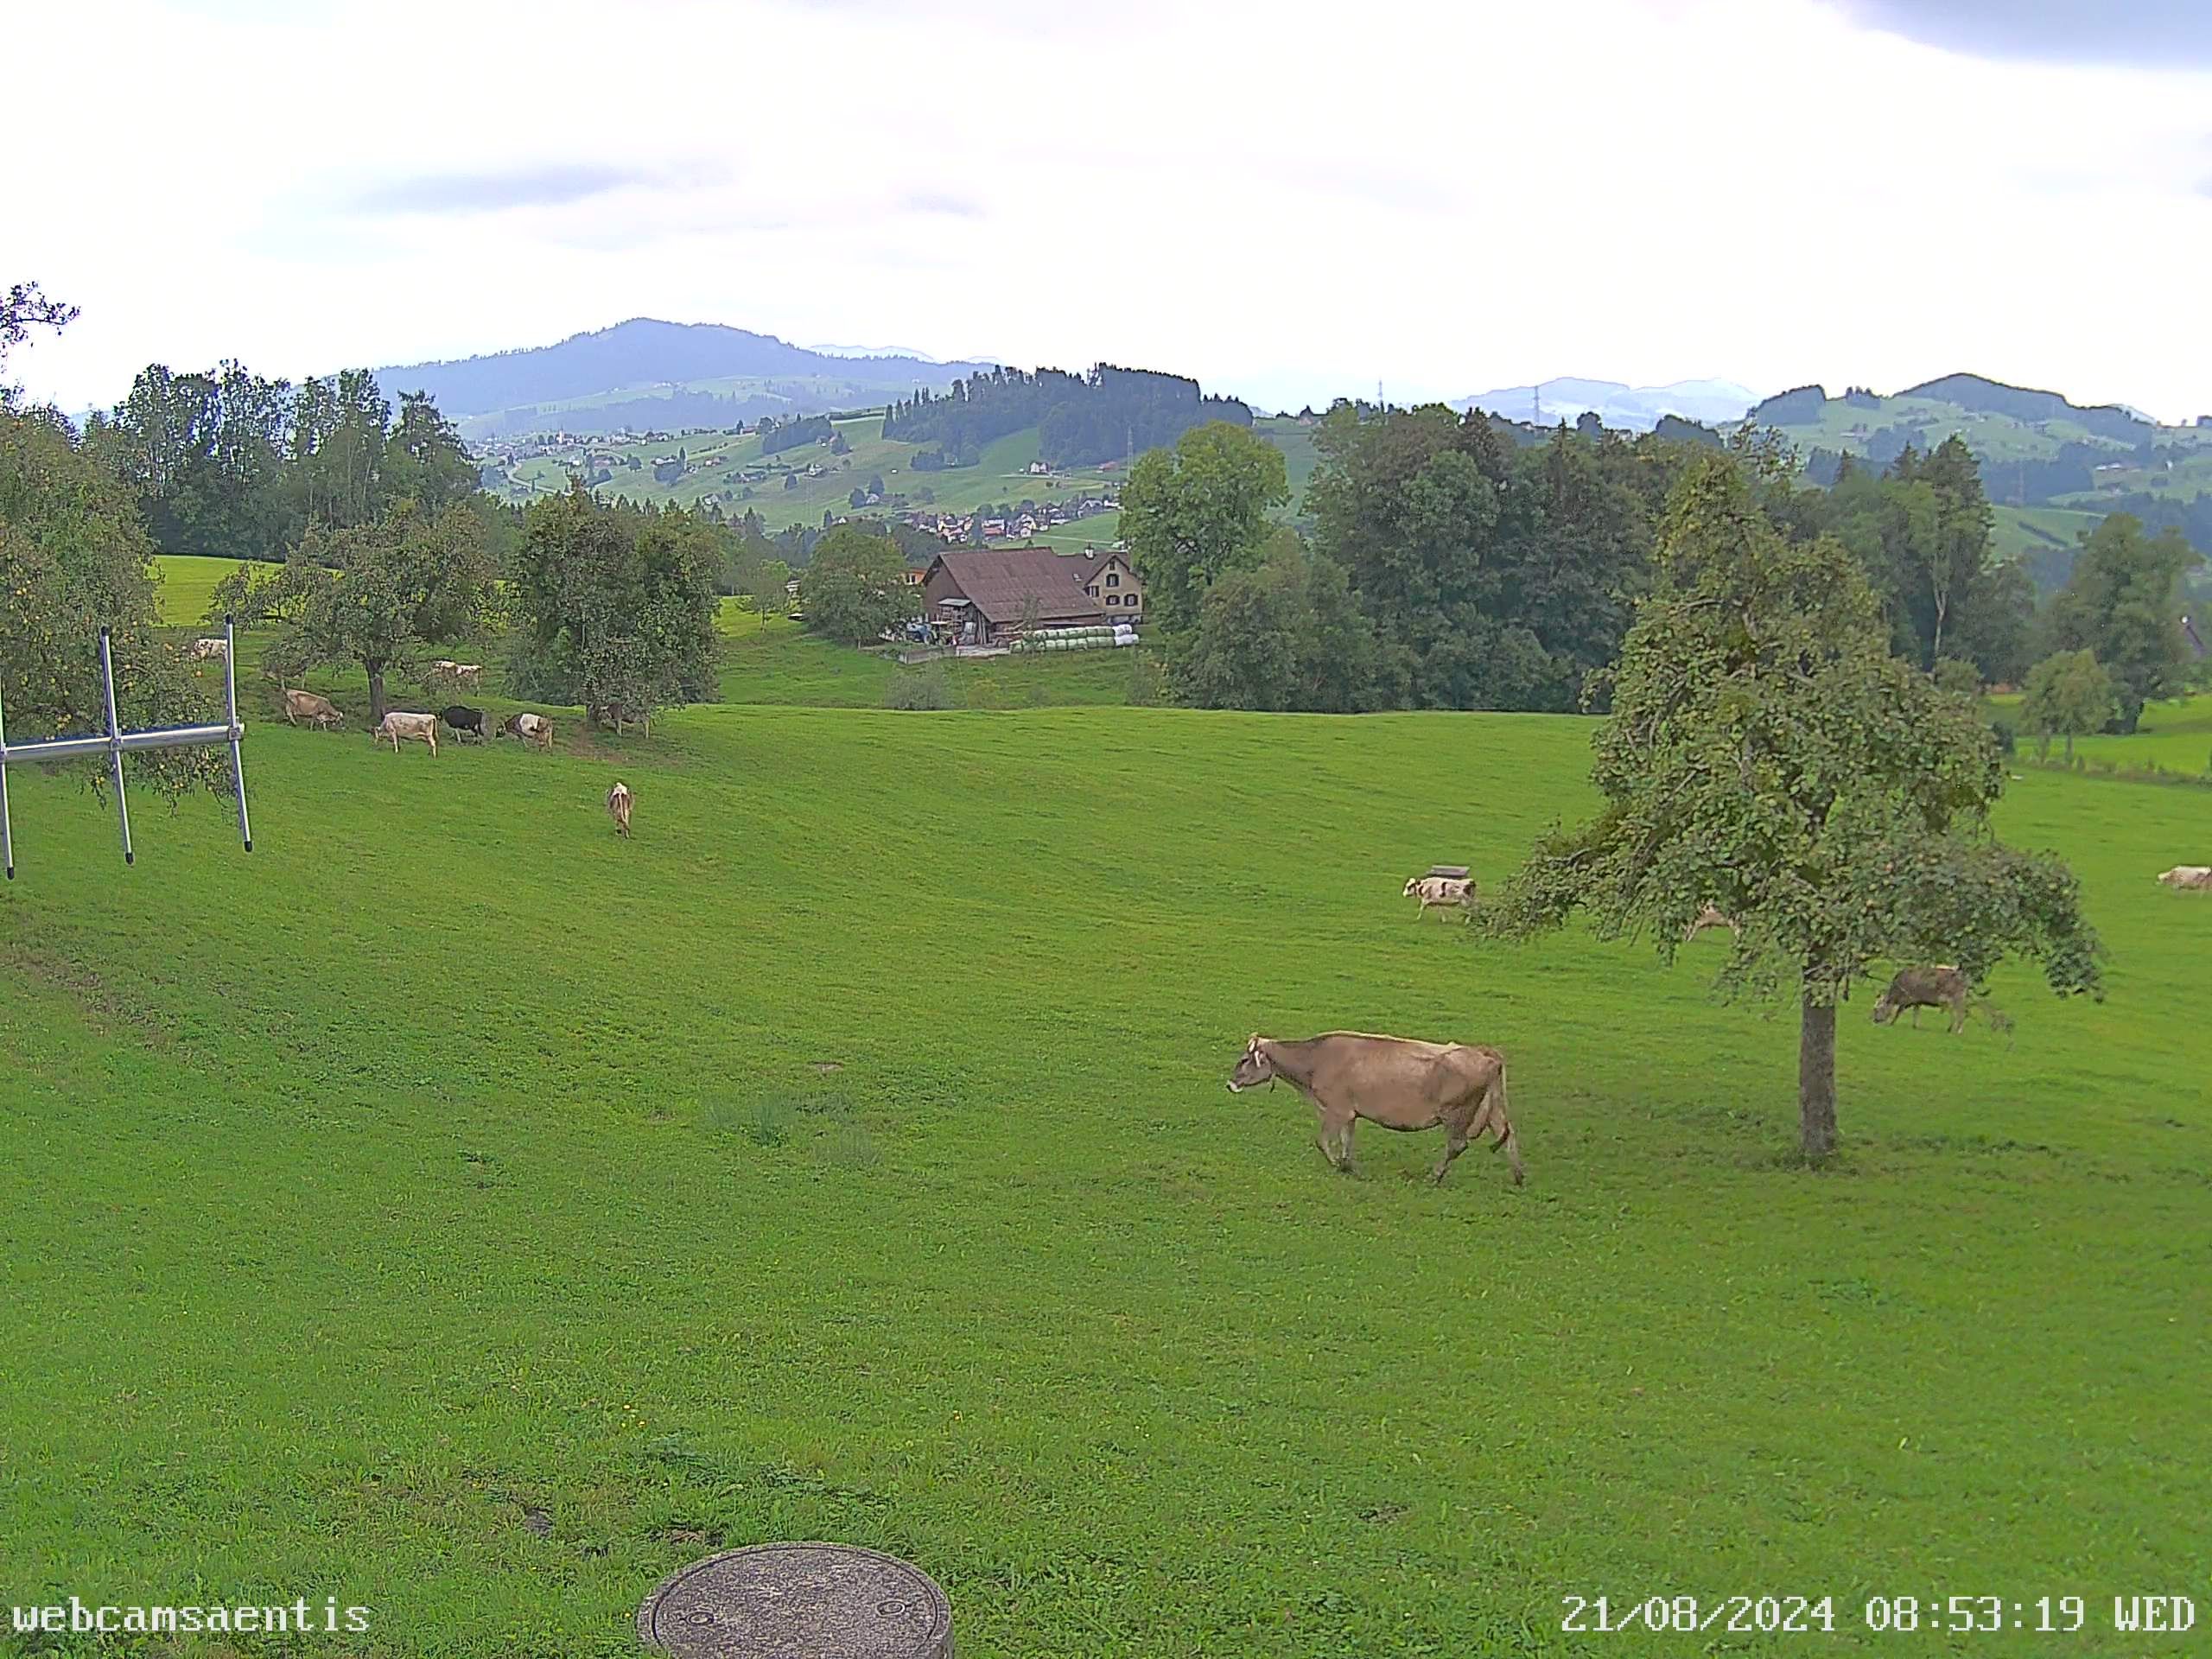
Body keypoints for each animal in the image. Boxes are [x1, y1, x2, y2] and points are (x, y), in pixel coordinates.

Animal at [1230, 1035, 1522, 1185]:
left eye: (1244, 1060)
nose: (1230, 1083)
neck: (1316, 1060)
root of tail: (1485, 1053)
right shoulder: (1350, 1113)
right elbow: (1347, 1140)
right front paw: (1348, 1165)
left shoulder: (1336, 1109)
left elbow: (1323, 1140)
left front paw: (1339, 1165)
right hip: (1493, 1110)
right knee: (1509, 1136)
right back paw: (1519, 1177)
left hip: (1458, 1114)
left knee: (1457, 1145)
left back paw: (1434, 1176)